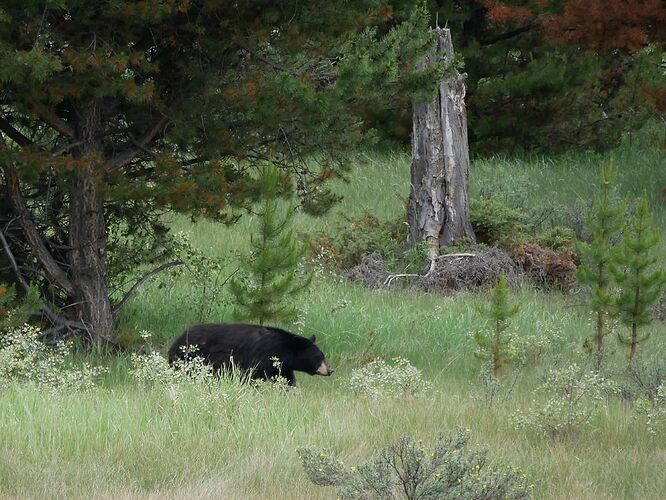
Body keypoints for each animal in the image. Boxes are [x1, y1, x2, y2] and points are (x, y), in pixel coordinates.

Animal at [166, 322, 332, 384]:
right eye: (319, 357)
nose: (330, 370)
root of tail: (177, 341)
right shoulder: (261, 359)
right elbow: (251, 376)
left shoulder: (283, 367)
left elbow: (288, 380)